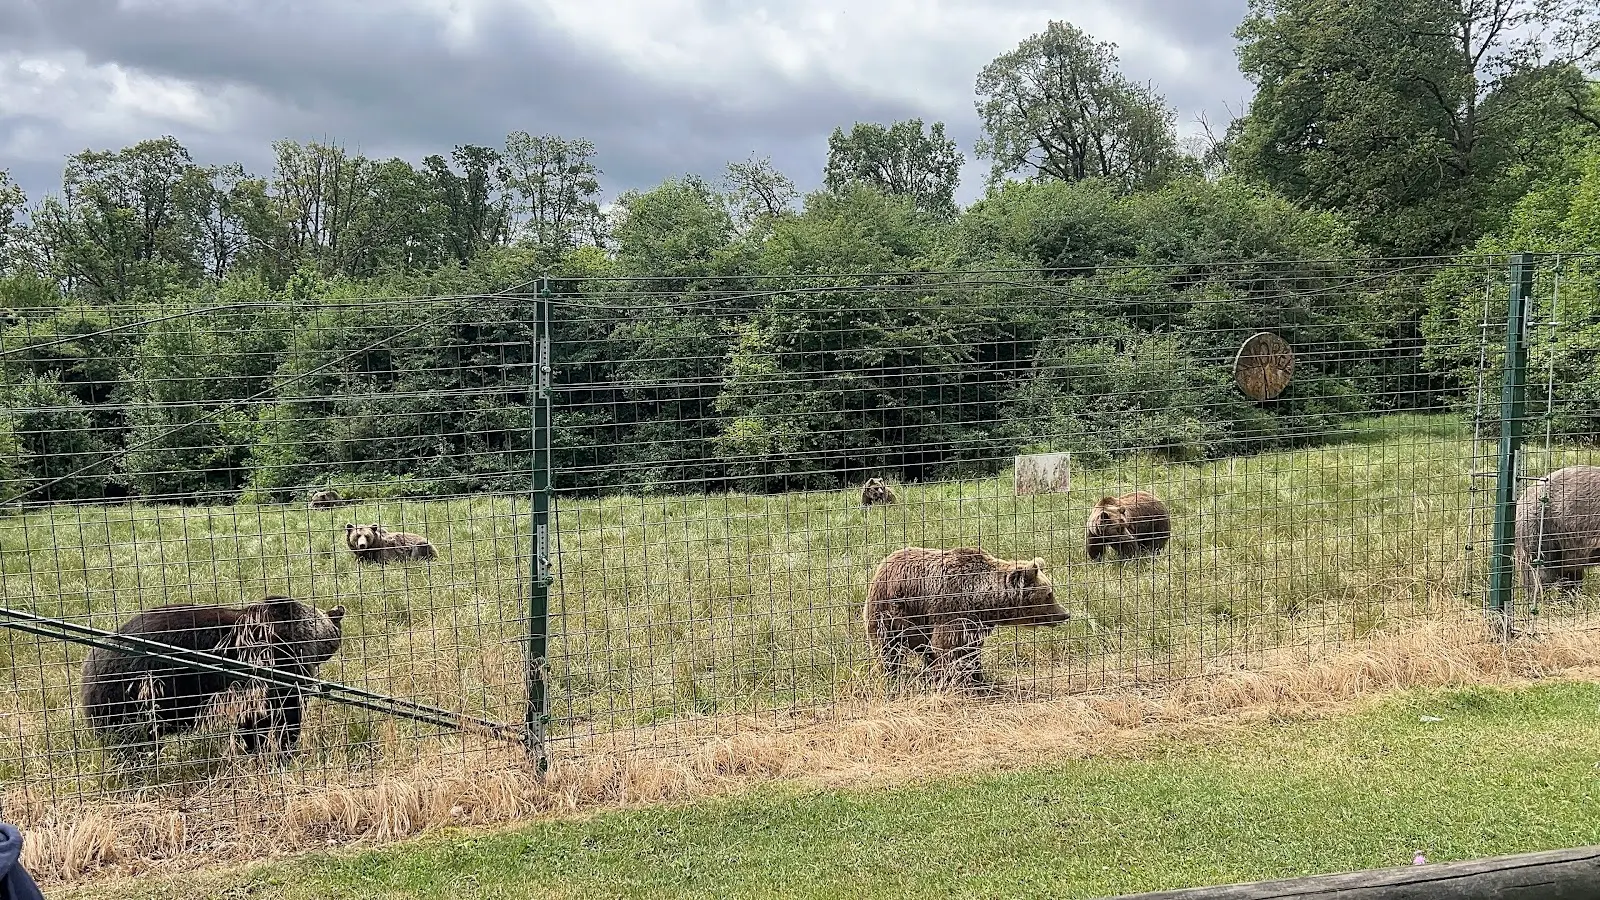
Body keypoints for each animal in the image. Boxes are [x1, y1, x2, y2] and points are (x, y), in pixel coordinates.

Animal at [863, 546, 1068, 689]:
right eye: (1049, 594)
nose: (1065, 614)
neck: (985, 601)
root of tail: (883, 565)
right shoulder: (954, 610)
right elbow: (951, 647)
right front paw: (958, 681)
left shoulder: (977, 622)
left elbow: (972, 650)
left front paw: (978, 678)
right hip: (891, 611)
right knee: (888, 649)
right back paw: (892, 677)